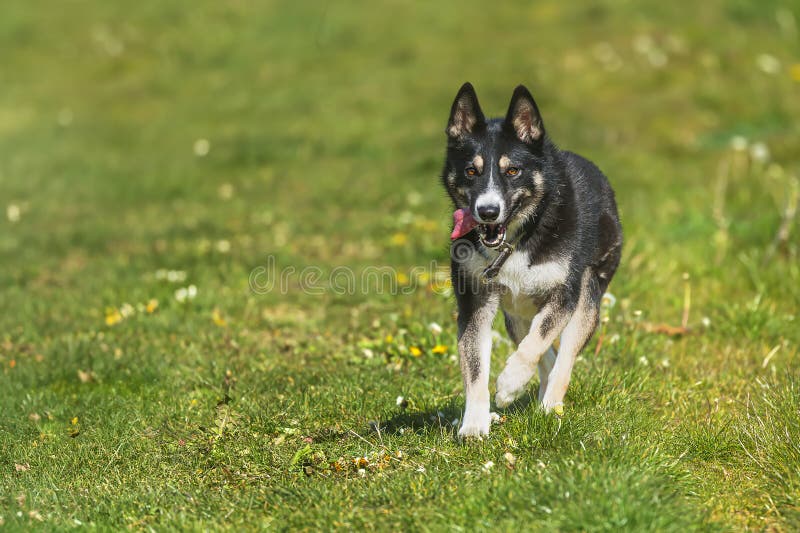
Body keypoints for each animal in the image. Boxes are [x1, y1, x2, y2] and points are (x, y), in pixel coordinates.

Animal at [440, 81, 620, 434]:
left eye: (513, 170)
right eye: (471, 171)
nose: (487, 211)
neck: (517, 239)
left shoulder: (564, 295)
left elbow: (539, 340)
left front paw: (510, 383)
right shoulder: (475, 300)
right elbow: (475, 365)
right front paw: (475, 424)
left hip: (588, 293)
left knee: (563, 357)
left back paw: (550, 406)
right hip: (516, 311)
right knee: (543, 350)